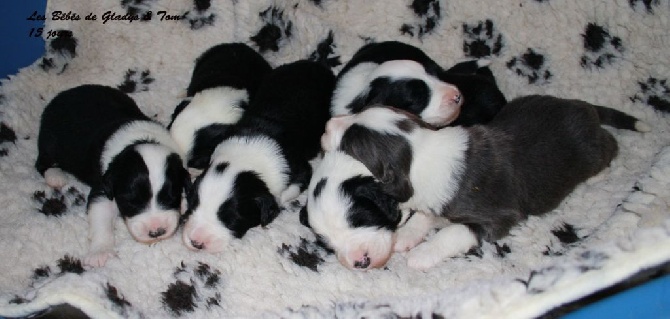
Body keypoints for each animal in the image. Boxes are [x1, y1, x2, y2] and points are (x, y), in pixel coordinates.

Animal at [36, 84, 190, 268]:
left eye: (171, 197)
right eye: (131, 201)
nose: (156, 232)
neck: (141, 139)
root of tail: (63, 94)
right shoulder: (103, 188)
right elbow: (101, 217)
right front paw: (100, 252)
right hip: (49, 141)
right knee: (42, 162)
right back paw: (55, 176)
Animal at [181, 61, 336, 254]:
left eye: (231, 220)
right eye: (194, 203)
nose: (196, 242)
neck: (246, 158)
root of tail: (315, 64)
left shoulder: (301, 169)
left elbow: (289, 190)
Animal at [308, 96, 652, 272]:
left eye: (349, 142)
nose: (327, 124)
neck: (419, 150)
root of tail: (583, 106)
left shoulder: (497, 216)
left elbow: (453, 232)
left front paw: (422, 255)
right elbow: (425, 216)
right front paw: (406, 236)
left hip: (590, 150)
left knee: (608, 146)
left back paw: (602, 170)